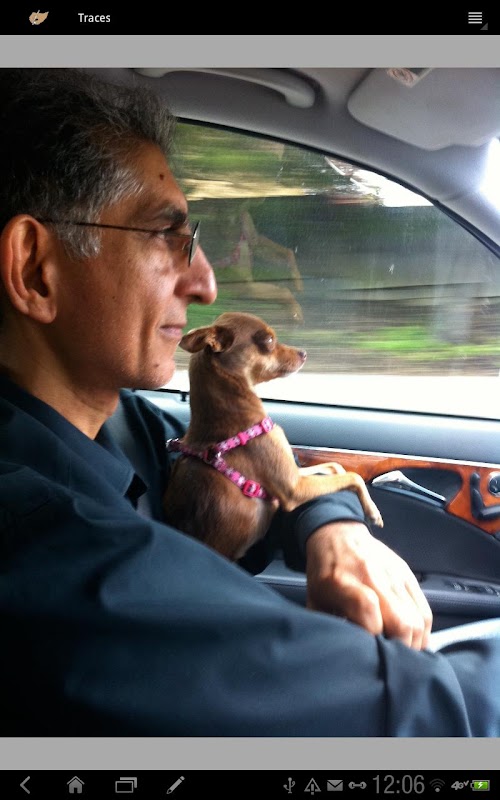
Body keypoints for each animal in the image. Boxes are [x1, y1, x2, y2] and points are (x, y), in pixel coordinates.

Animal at [163, 312, 383, 561]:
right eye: (268, 340)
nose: (304, 352)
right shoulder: (293, 489)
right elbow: (353, 477)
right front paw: (372, 510)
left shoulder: (294, 474)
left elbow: (335, 466)